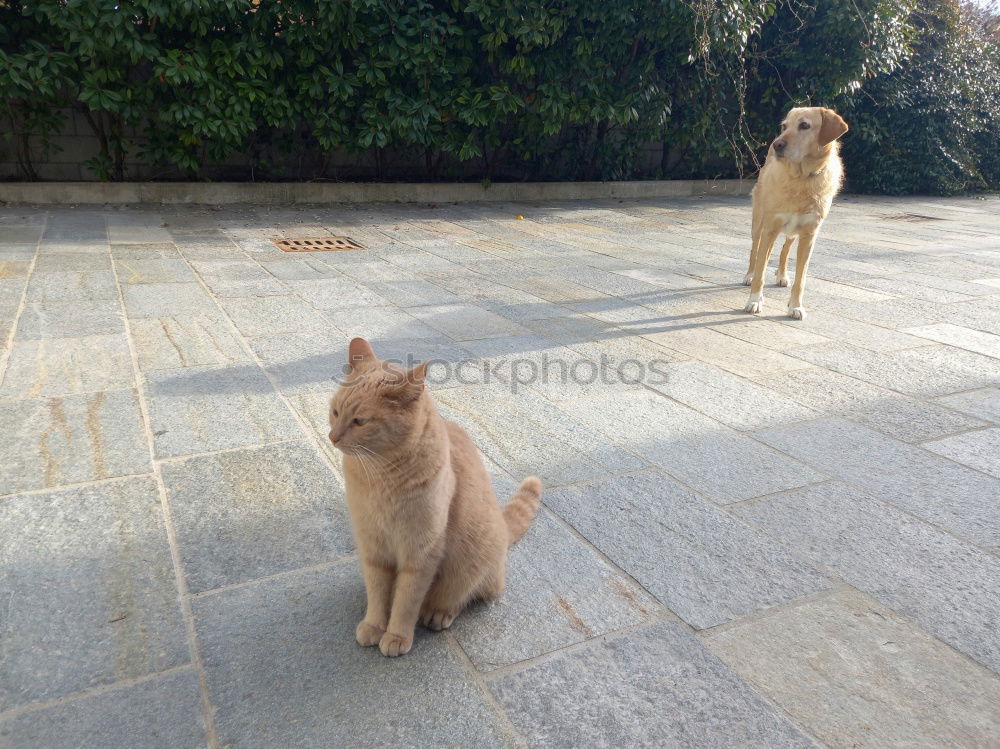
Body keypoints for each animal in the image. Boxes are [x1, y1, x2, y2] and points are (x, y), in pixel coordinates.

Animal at [330, 338, 544, 656]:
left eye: (360, 421)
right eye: (334, 412)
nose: (332, 437)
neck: (379, 477)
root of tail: (503, 528)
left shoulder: (420, 552)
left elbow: (406, 601)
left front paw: (396, 636)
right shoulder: (373, 548)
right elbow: (378, 594)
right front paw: (374, 625)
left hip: (473, 564)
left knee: (465, 594)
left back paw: (438, 613)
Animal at [748, 106, 848, 318]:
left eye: (804, 125)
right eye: (784, 126)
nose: (777, 143)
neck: (801, 179)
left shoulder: (809, 235)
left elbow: (801, 279)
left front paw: (795, 306)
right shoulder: (770, 228)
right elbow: (761, 268)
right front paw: (754, 300)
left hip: (792, 232)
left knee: (785, 250)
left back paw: (782, 275)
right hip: (759, 224)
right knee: (755, 251)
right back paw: (749, 275)